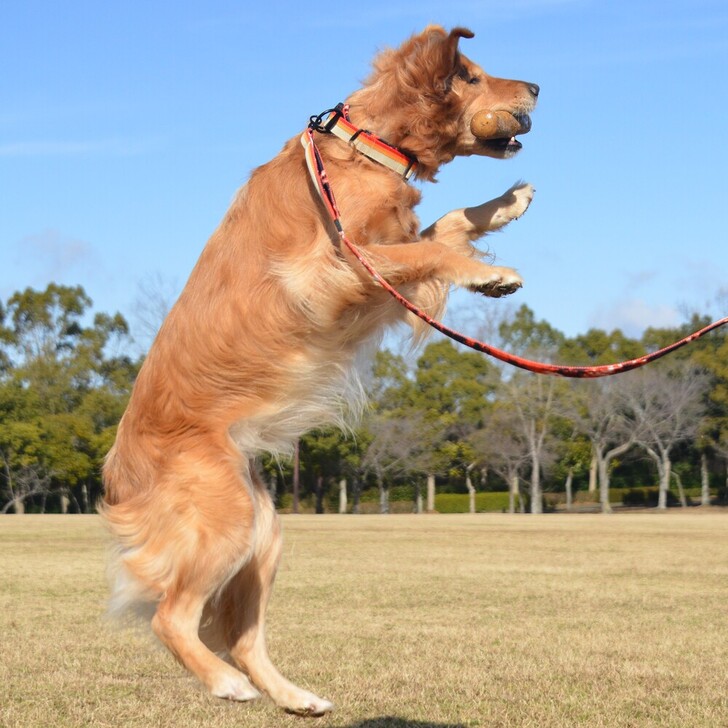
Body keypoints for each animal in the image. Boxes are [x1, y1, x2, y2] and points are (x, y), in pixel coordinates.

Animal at [101, 25, 538, 716]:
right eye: (470, 75)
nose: (538, 88)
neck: (365, 151)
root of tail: (119, 468)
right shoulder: (339, 264)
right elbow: (436, 250)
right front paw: (490, 273)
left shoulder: (382, 257)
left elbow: (444, 225)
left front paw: (504, 205)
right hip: (224, 524)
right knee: (172, 617)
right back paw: (224, 683)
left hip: (263, 535)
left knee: (243, 638)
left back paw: (293, 696)